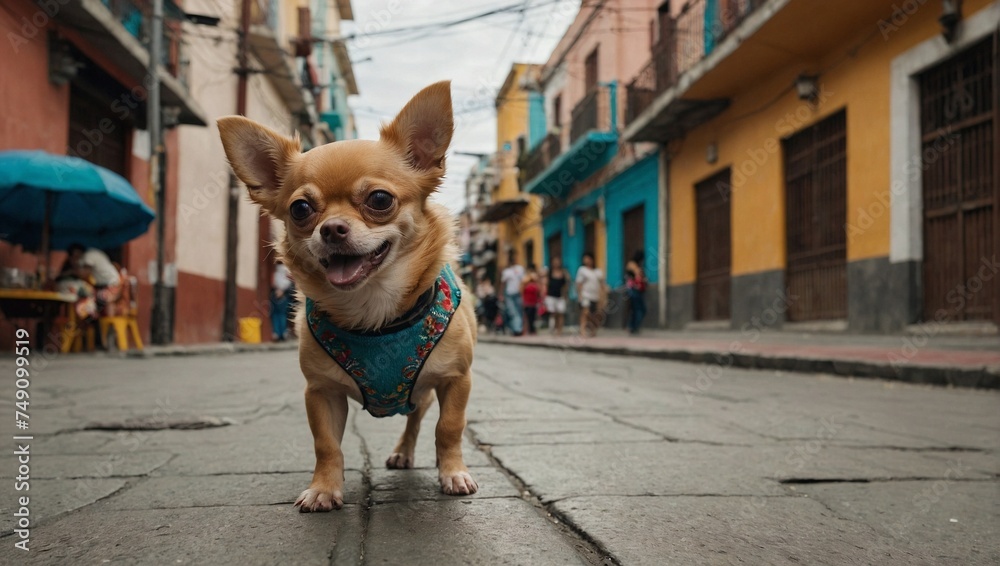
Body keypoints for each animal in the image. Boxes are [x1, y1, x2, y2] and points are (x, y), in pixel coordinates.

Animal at [216, 82, 480, 512]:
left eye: (380, 200)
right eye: (300, 208)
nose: (332, 229)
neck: (373, 311)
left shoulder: (456, 380)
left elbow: (449, 427)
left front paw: (453, 472)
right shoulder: (321, 392)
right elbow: (326, 444)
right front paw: (324, 489)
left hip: (424, 392)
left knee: (416, 420)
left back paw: (406, 453)